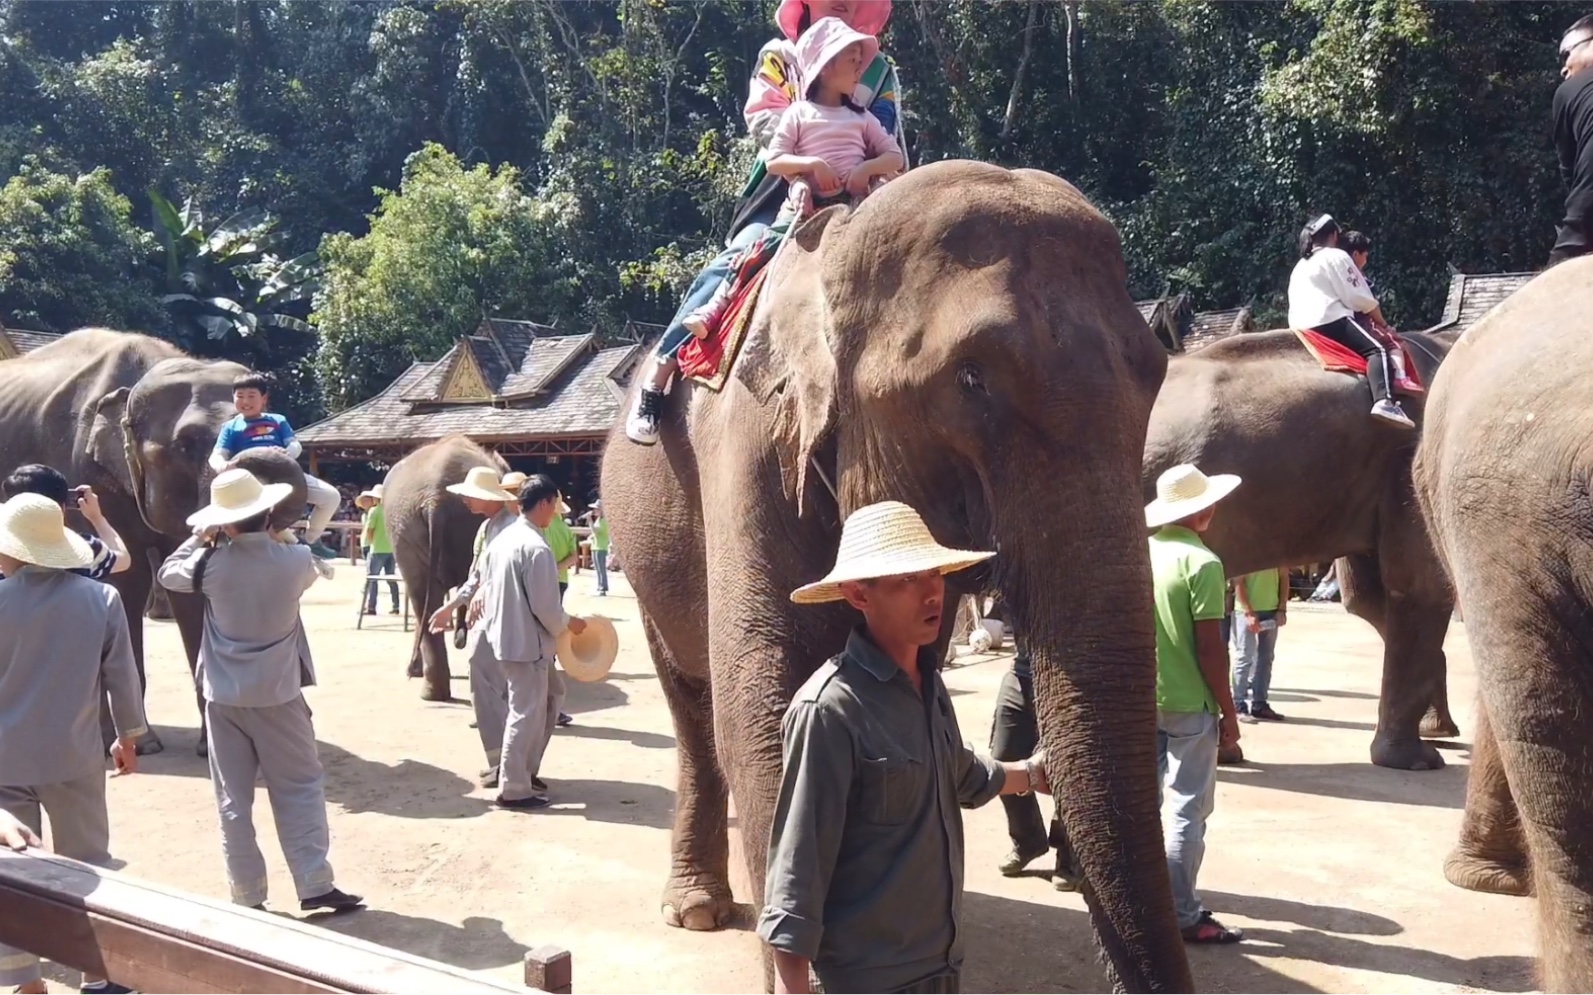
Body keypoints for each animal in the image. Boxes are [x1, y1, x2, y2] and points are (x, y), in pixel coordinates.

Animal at [0, 327, 305, 751]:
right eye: (185, 445)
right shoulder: (85, 470)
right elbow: (126, 579)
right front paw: (138, 745)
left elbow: (187, 587)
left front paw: (206, 747)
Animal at [602, 160, 1191, 987]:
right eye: (970, 379)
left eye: (1154, 376)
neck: (832, 249)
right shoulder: (743, 454)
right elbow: (758, 700)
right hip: (638, 556)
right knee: (692, 706)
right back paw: (696, 908)